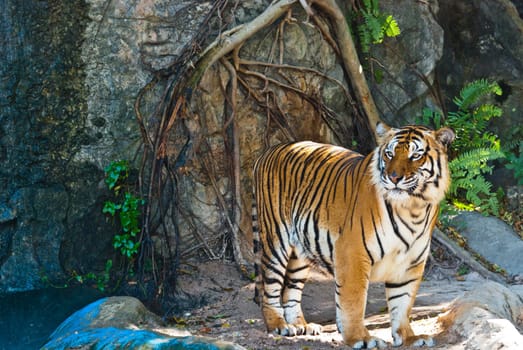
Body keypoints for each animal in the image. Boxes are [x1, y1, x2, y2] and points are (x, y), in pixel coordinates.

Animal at [253, 122, 454, 348]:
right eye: (389, 154)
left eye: (415, 156)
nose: (394, 178)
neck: (413, 208)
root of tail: (269, 150)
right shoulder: (353, 253)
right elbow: (353, 300)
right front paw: (360, 338)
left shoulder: (410, 261)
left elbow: (402, 302)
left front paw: (408, 336)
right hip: (276, 240)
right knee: (269, 286)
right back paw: (278, 325)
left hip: (300, 252)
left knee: (291, 288)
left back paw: (300, 325)